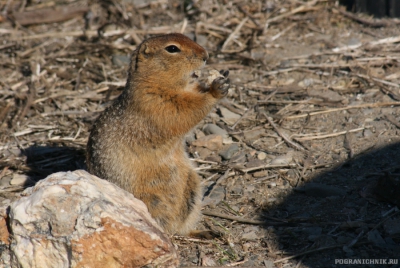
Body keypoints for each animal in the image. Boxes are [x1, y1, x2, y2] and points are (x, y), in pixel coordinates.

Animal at [87, 33, 231, 234]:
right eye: (172, 49)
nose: (206, 55)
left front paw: (220, 77)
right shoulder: (155, 102)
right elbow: (185, 111)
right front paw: (215, 89)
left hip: (193, 188)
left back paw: (207, 232)